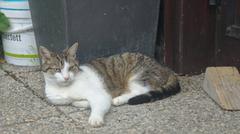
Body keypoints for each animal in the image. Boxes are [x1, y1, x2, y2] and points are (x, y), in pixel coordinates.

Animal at [39, 42, 180, 127]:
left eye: (71, 68)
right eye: (57, 69)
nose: (66, 77)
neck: (64, 89)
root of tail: (164, 67)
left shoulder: (101, 94)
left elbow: (98, 104)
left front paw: (95, 118)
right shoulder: (55, 99)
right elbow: (73, 102)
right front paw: (81, 103)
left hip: (138, 75)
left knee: (140, 90)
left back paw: (119, 99)